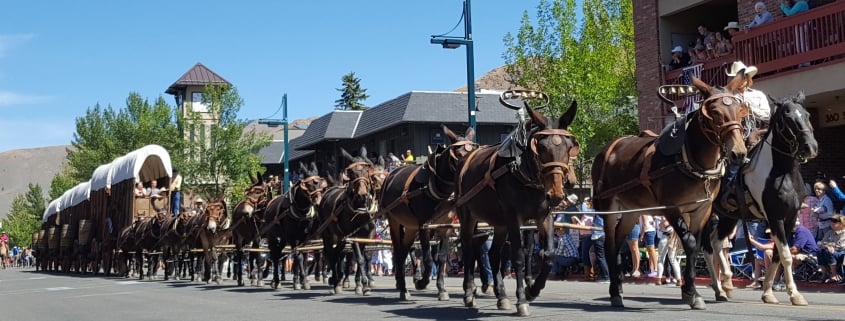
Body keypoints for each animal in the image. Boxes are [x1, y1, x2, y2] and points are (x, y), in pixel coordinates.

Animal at [704, 91, 816, 304]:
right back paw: (718, 289)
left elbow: (778, 255)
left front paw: (768, 293)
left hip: (728, 217)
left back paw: (727, 284)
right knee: (704, 247)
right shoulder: (775, 217)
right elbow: (786, 255)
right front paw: (795, 294)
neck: (782, 173)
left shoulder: (790, 219)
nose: (810, 147)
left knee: (715, 242)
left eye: (807, 115)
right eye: (788, 118)